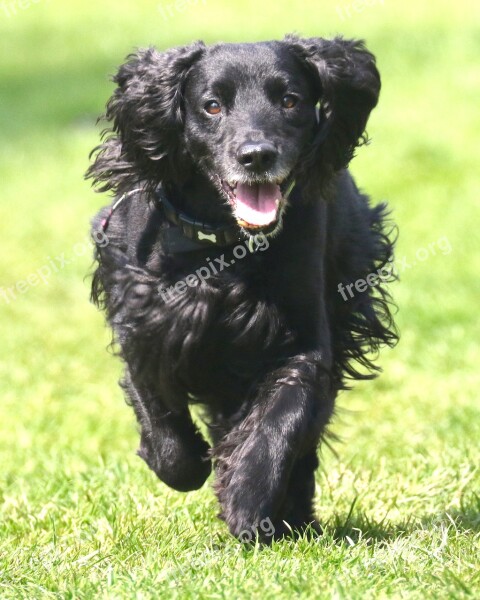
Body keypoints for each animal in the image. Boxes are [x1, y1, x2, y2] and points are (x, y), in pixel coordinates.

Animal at [86, 37, 398, 544]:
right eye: (212, 105)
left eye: (289, 100)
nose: (257, 155)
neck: (224, 247)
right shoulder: (145, 325)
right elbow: (162, 424)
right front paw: (186, 463)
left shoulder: (300, 340)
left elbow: (282, 420)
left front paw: (247, 500)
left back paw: (293, 515)